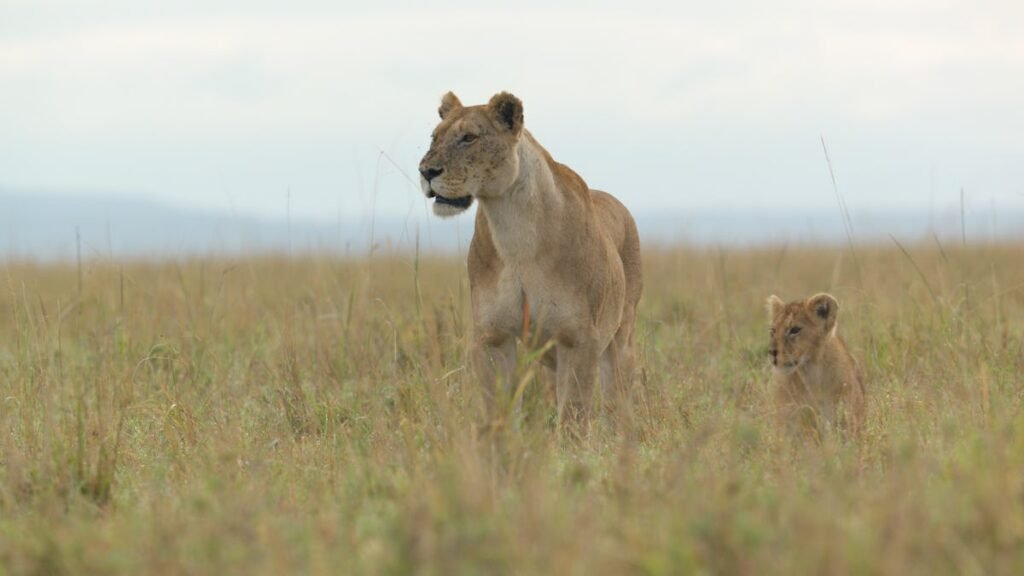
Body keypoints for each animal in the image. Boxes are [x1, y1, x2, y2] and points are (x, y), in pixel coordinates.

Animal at [418, 91, 642, 430]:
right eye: (434, 137)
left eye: (469, 138)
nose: (426, 172)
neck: (515, 232)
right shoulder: (493, 336)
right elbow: (496, 408)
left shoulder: (578, 338)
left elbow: (574, 414)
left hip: (620, 338)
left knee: (617, 395)